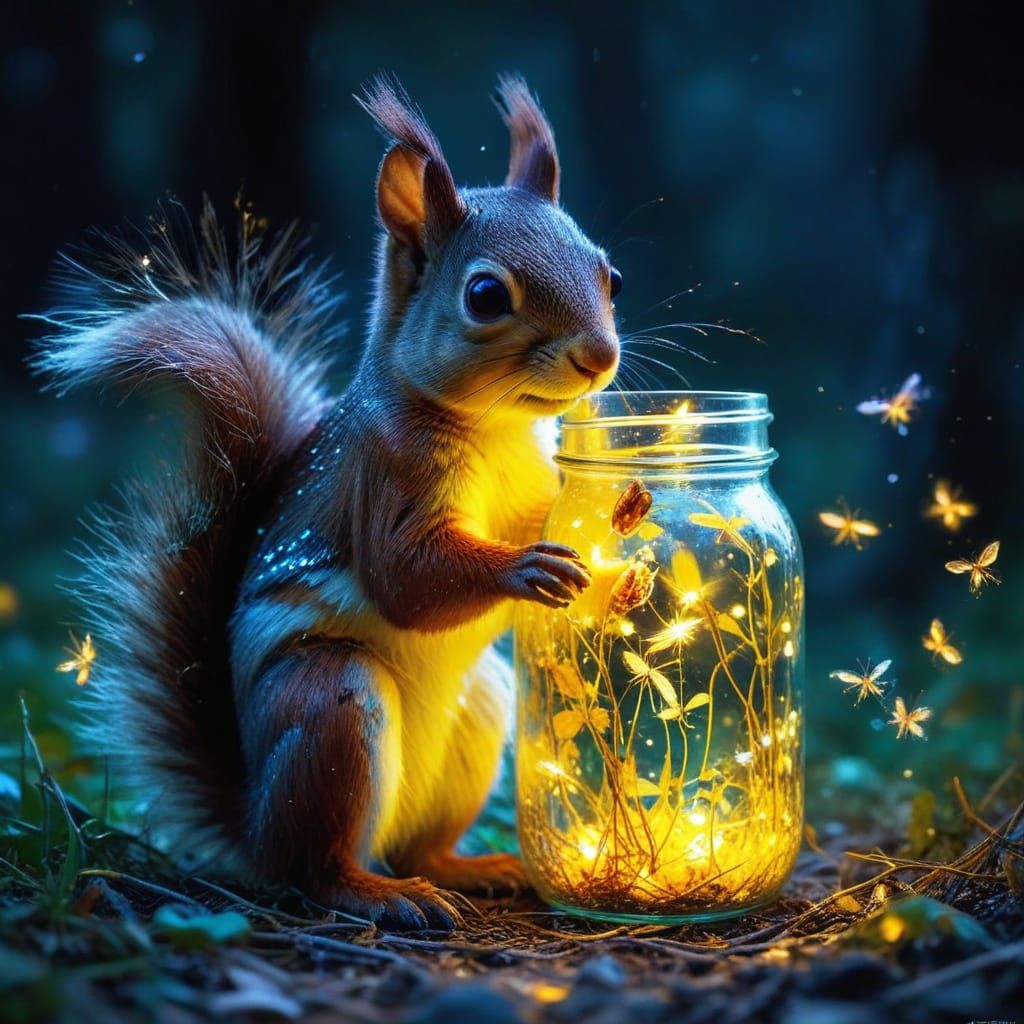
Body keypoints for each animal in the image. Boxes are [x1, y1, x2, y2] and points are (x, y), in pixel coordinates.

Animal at [32, 75, 620, 929]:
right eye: (485, 295)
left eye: (610, 275)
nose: (600, 356)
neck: (500, 426)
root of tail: (253, 827)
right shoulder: (387, 474)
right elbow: (406, 578)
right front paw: (522, 569)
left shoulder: (539, 484)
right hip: (331, 710)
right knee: (315, 869)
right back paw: (382, 895)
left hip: (480, 711)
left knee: (416, 847)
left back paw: (476, 867)